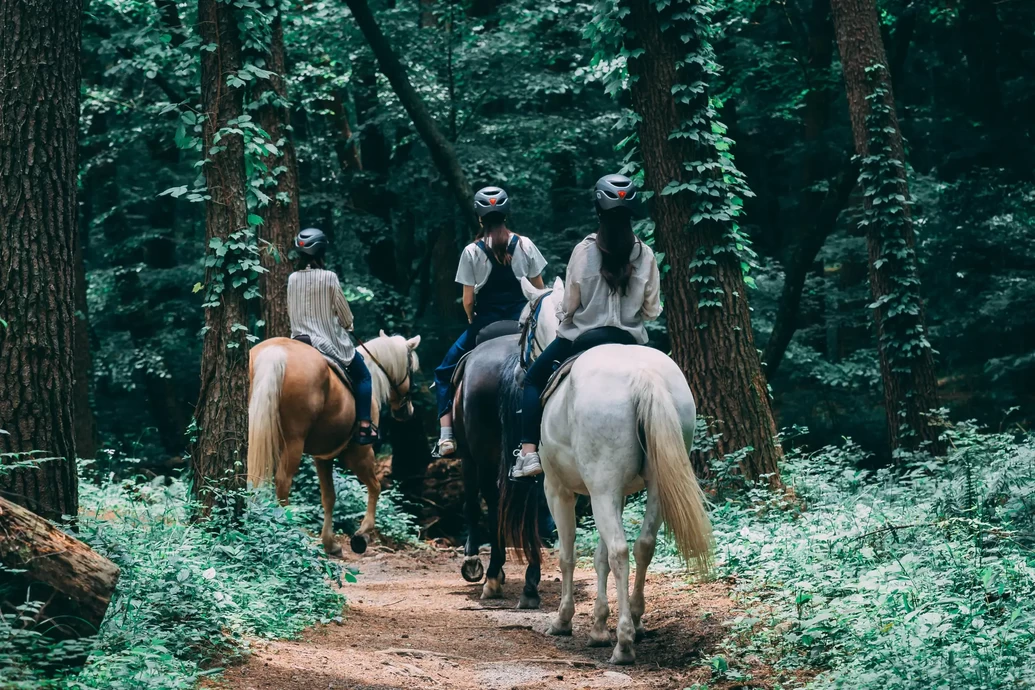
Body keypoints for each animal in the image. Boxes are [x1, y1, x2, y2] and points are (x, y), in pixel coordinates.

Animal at [246, 331, 420, 554]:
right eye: (411, 369)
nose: (408, 411)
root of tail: (276, 352)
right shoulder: (361, 453)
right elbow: (375, 487)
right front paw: (362, 534)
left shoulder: (322, 457)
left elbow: (329, 497)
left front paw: (330, 543)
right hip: (294, 442)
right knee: (283, 483)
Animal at [509, 279, 712, 662]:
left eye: (522, 324)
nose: (518, 373)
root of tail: (642, 375)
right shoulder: (609, 494)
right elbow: (600, 557)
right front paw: (599, 626)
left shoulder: (560, 491)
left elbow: (570, 555)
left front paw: (565, 621)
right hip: (652, 487)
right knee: (643, 546)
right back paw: (635, 620)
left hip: (599, 490)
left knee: (620, 549)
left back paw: (624, 643)